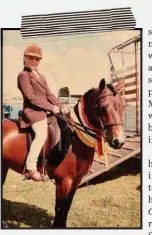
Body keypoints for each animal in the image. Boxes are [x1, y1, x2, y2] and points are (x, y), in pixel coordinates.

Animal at [2, 79, 125, 228]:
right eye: (103, 107)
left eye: (123, 106)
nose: (118, 141)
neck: (75, 138)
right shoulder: (64, 181)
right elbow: (60, 208)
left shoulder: (76, 180)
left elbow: (66, 207)